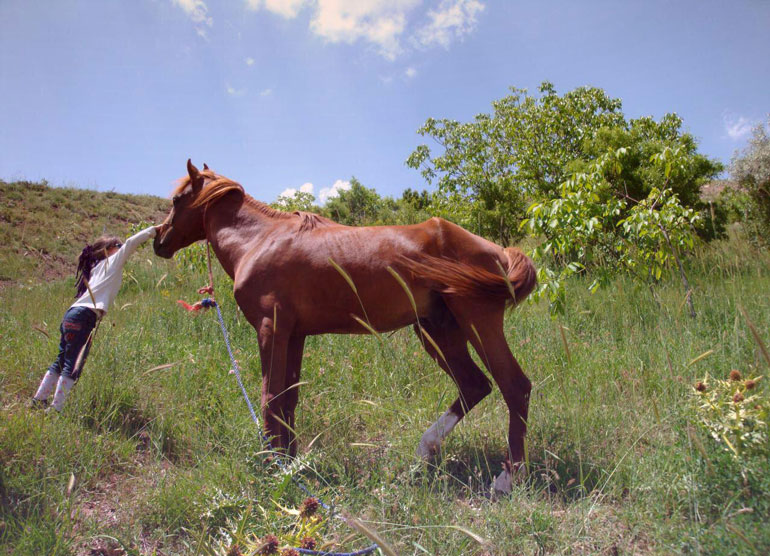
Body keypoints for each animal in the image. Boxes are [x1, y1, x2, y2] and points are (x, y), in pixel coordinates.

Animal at [155, 160, 536, 490]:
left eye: (176, 200)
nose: (159, 241)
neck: (260, 240)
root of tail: (497, 251)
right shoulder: (295, 335)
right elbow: (288, 398)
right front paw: (290, 462)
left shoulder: (270, 329)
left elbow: (270, 397)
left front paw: (272, 465)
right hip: (438, 331)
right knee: (475, 386)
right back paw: (423, 453)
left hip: (476, 322)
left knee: (514, 385)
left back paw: (508, 477)